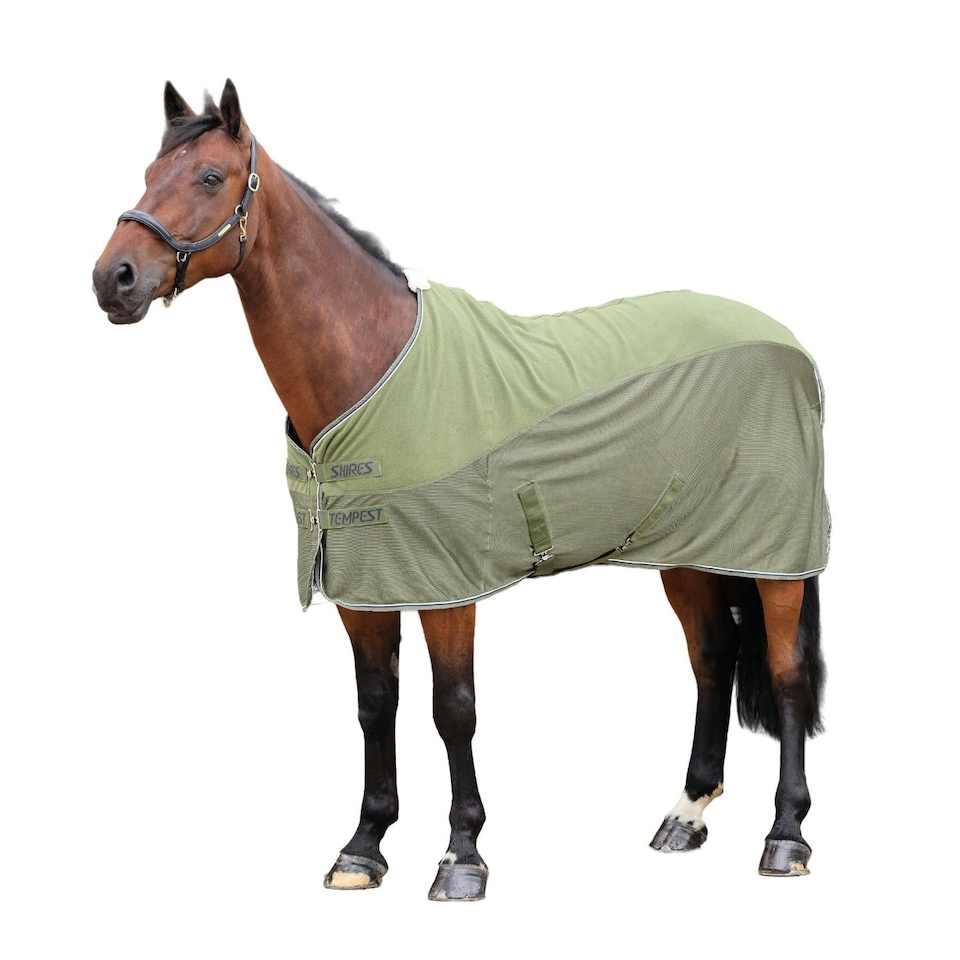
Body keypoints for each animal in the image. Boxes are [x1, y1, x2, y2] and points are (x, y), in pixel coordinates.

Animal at [92, 80, 828, 901]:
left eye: (210, 177)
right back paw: (686, 814)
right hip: (687, 550)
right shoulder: (364, 585)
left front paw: (462, 854)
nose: (113, 278)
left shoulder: (447, 585)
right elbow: (375, 706)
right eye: (148, 174)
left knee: (787, 675)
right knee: (713, 657)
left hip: (776, 556)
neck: (373, 370)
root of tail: (791, 345)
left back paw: (786, 837)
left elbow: (454, 710)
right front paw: (364, 846)